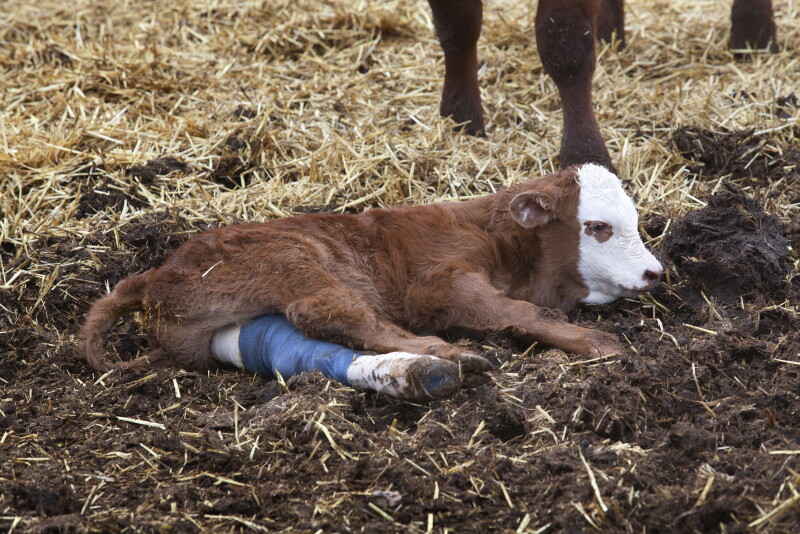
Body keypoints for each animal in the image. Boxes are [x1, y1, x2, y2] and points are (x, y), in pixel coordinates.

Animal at [79, 163, 663, 400]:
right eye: (598, 226)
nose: (655, 272)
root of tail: (155, 276)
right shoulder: (437, 282)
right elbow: (519, 313)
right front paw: (597, 343)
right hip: (291, 259)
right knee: (333, 313)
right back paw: (449, 354)